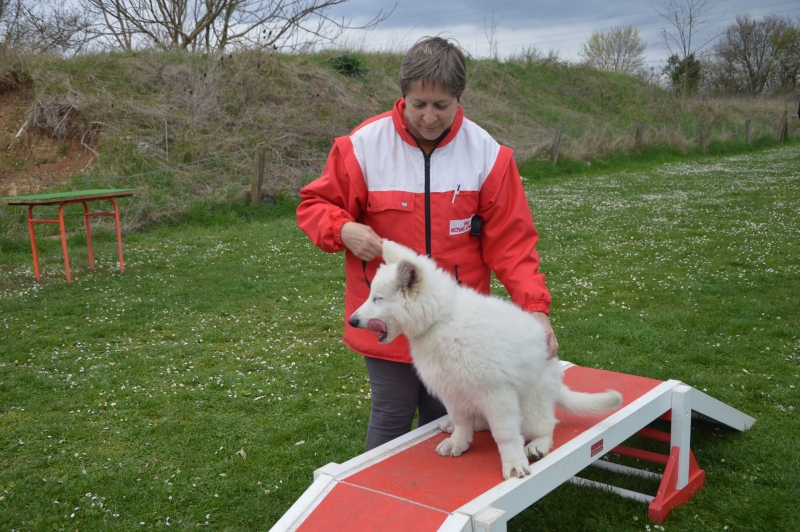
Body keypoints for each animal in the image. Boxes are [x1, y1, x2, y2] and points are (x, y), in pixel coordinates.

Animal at [352, 243, 624, 480]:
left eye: (378, 299)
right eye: (371, 295)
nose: (352, 321)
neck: (441, 318)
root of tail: (555, 378)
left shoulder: (496, 393)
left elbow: (506, 434)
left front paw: (513, 463)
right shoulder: (452, 390)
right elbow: (462, 421)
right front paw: (459, 441)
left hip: (530, 405)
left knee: (547, 425)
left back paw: (538, 444)